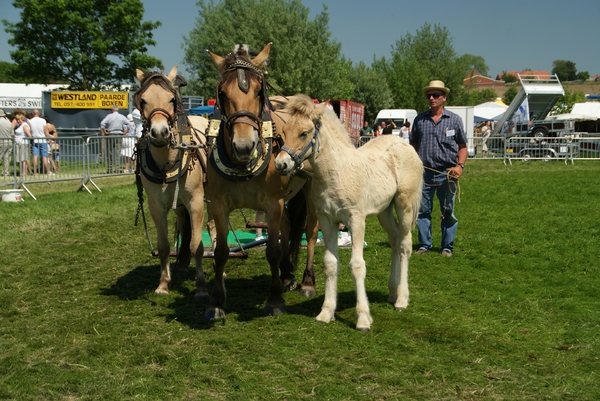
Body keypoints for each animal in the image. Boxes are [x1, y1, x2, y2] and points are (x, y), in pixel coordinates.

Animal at [135, 66, 210, 296]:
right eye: (142, 100)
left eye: (171, 99)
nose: (160, 133)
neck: (166, 163)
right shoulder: (156, 207)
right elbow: (164, 246)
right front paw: (163, 284)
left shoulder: (196, 201)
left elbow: (197, 244)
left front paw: (201, 286)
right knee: (184, 226)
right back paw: (182, 264)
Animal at [274, 94, 424, 332]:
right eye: (284, 132)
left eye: (304, 133)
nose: (281, 164)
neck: (336, 171)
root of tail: (405, 145)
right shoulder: (327, 220)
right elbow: (330, 264)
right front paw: (326, 312)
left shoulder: (356, 220)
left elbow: (357, 265)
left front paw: (363, 318)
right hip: (384, 210)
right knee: (394, 240)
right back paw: (392, 293)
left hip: (405, 205)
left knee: (404, 245)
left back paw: (401, 299)